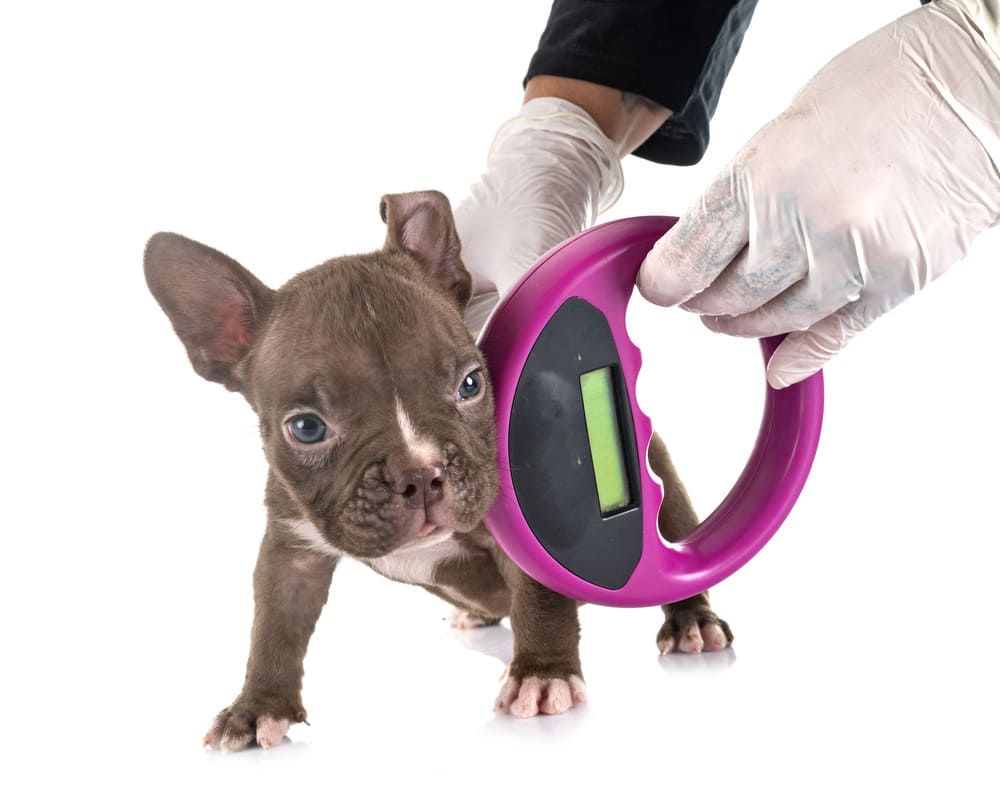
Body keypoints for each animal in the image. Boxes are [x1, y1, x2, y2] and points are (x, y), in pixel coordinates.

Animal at [143, 190, 736, 748]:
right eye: (306, 428)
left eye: (471, 384)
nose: (420, 473)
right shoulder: (292, 552)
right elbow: (274, 628)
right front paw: (257, 707)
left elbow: (540, 596)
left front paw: (543, 674)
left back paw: (692, 622)